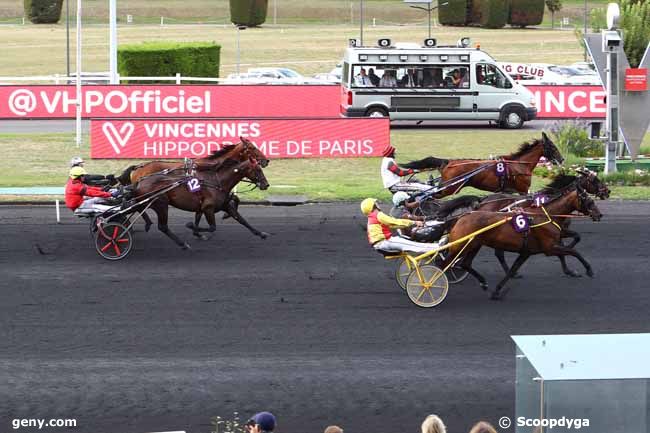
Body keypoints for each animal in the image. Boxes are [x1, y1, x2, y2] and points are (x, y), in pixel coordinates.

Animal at [133, 157, 270, 248]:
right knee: (162, 226)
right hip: (161, 204)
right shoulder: (208, 208)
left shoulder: (223, 205)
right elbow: (212, 227)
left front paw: (261, 233)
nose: (266, 184)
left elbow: (242, 220)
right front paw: (192, 227)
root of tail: (140, 181)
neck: (217, 181)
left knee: (139, 209)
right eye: (257, 170)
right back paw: (182, 244)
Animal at [400, 131, 560, 197]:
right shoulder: (523, 190)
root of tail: (449, 162)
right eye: (553, 147)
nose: (562, 159)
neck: (519, 164)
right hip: (449, 188)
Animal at [438, 177, 600, 298]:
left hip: (474, 244)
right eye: (589, 201)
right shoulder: (549, 248)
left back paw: (483, 282)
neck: (545, 215)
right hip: (462, 245)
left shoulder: (527, 251)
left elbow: (512, 270)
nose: (599, 215)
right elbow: (573, 252)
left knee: (465, 263)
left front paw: (497, 291)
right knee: (445, 264)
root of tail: (463, 216)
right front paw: (588, 270)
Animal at [476, 170, 608, 276]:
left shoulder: (560, 230)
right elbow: (567, 246)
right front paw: (569, 264)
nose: (607, 191)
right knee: (499, 253)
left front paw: (568, 268)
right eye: (595, 180)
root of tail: (483, 200)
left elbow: (576, 237)